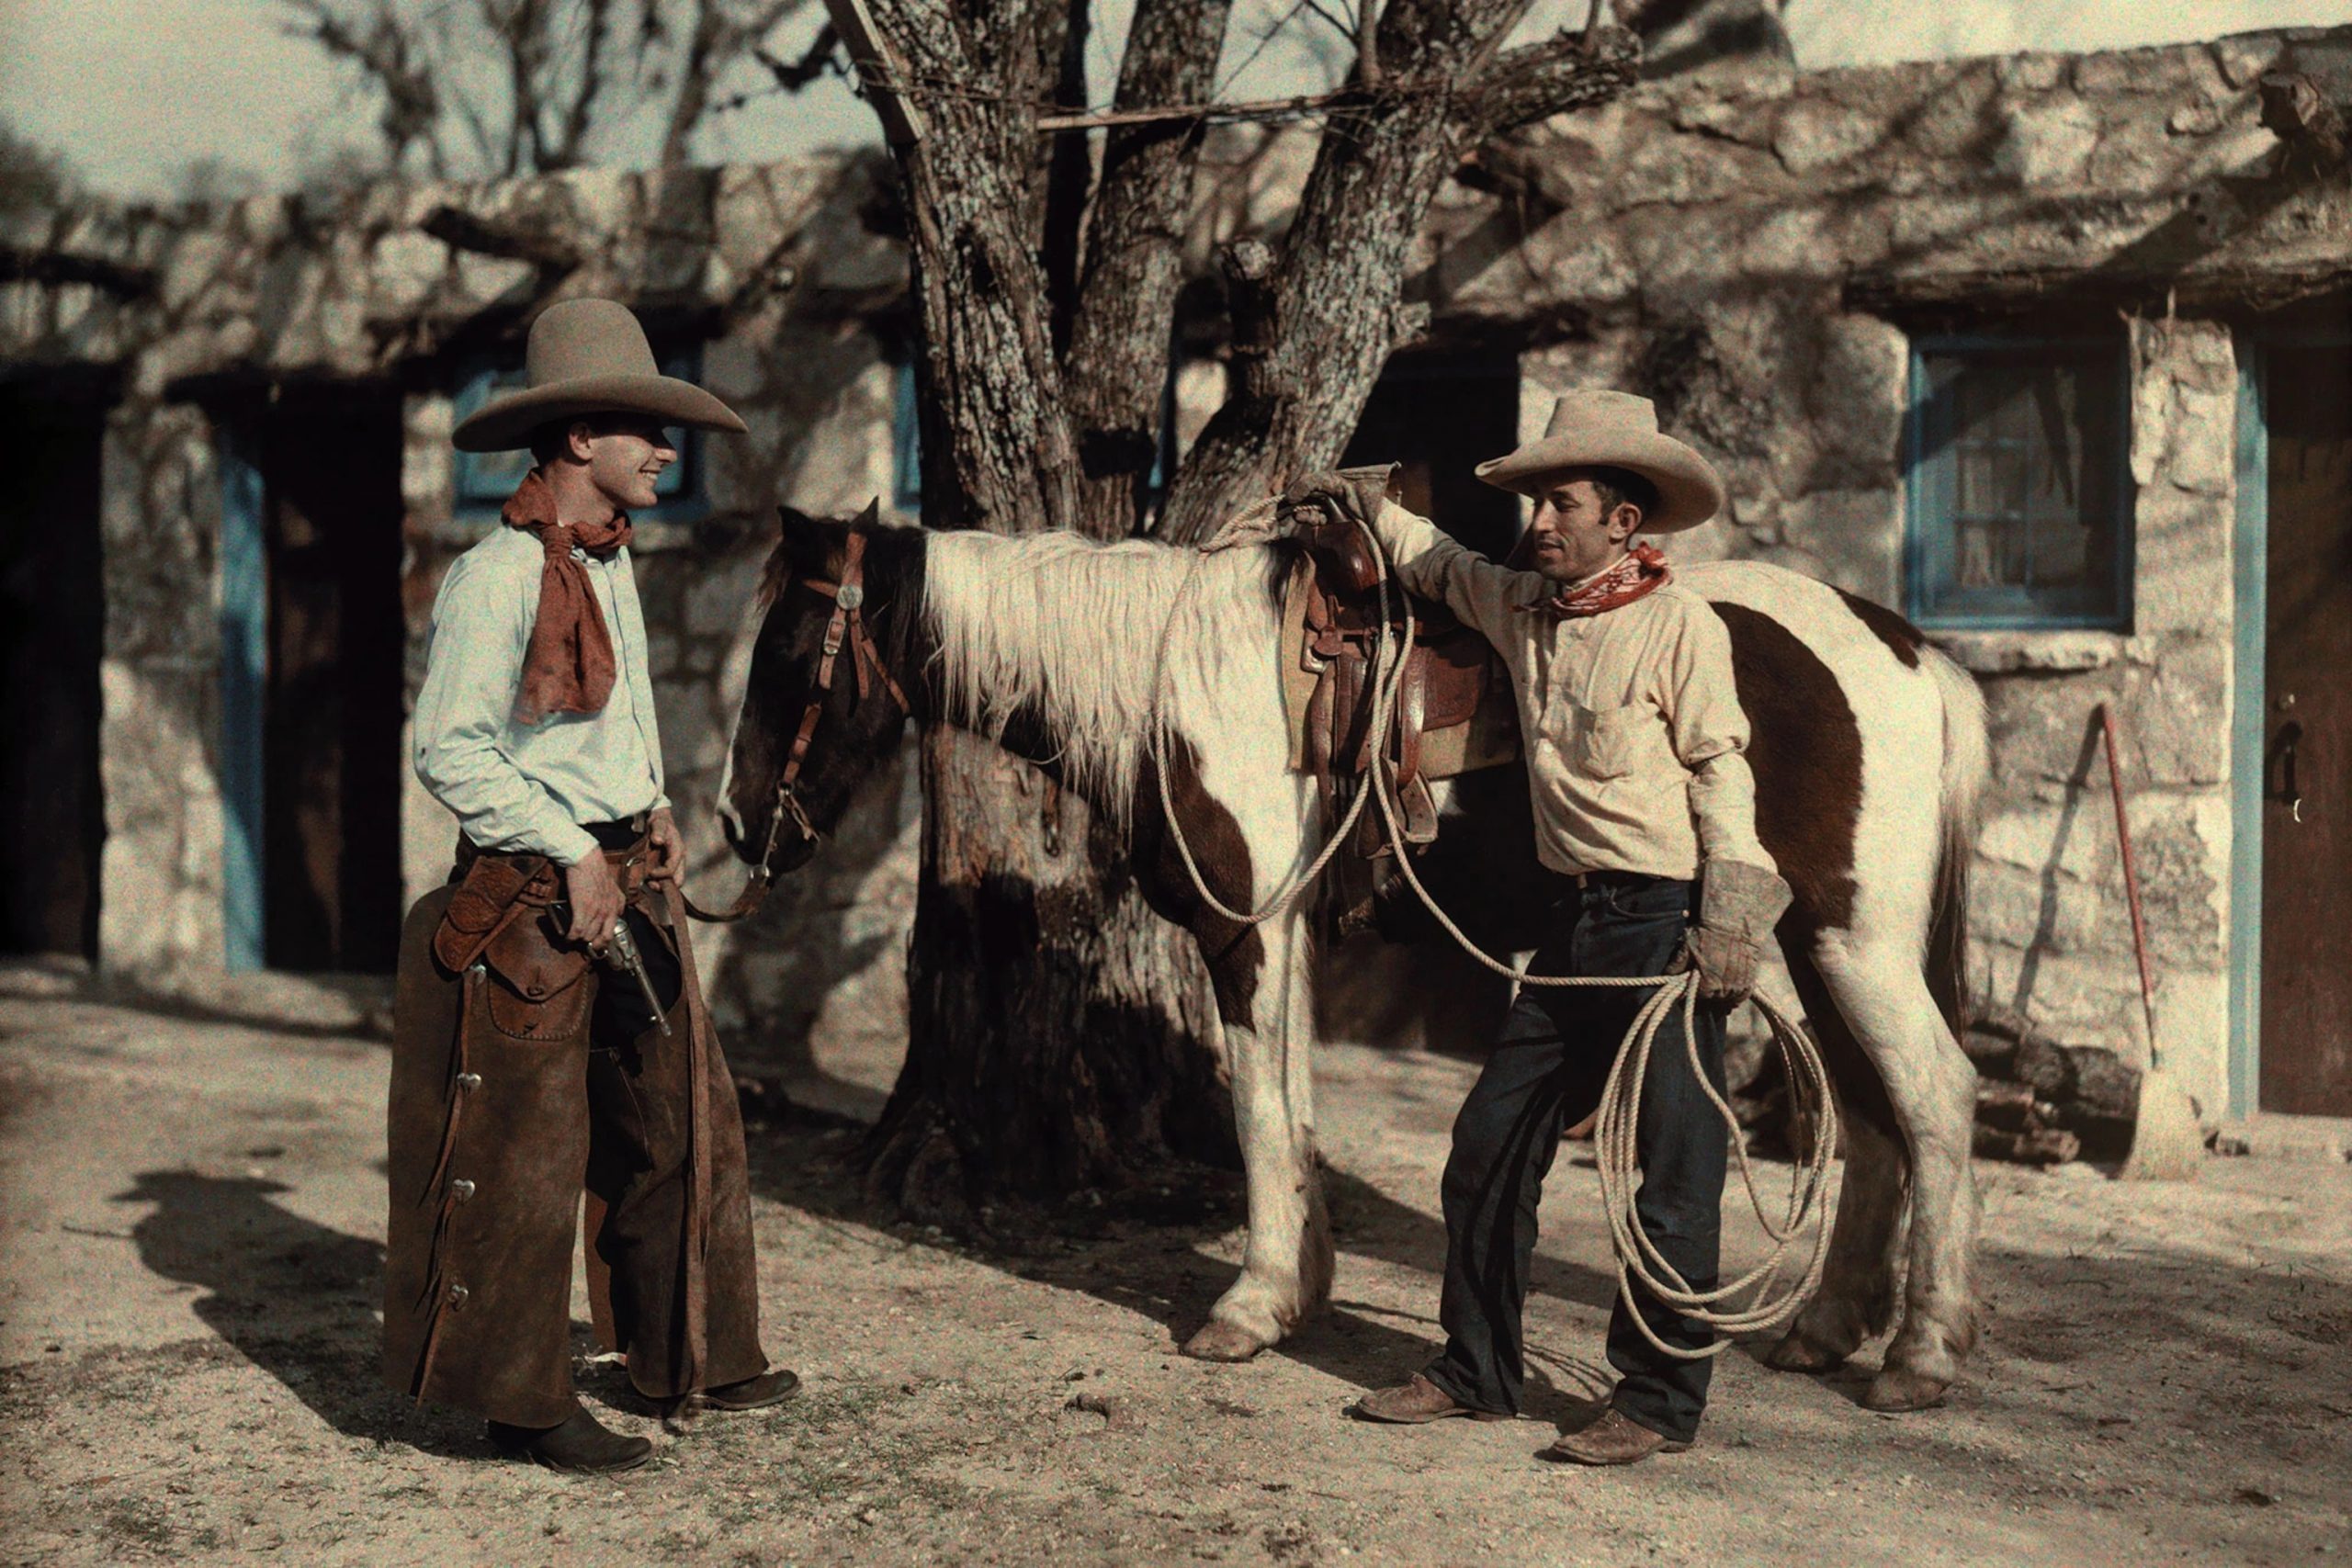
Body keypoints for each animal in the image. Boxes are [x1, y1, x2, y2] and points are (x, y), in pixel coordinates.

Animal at [724, 502, 1994, 1410]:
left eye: (787, 654)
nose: (741, 826)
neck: (1167, 682)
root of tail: (1906, 650)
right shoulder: (1277, 934)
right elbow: (1286, 1104)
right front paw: (1299, 1291)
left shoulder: (1244, 927)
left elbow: (1256, 1111)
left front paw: (1247, 1308)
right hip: (1811, 941)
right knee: (1873, 1116)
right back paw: (1822, 1334)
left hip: (1854, 937)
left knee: (1933, 1098)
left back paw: (1921, 1359)